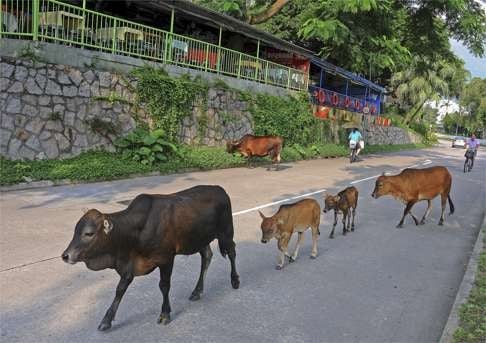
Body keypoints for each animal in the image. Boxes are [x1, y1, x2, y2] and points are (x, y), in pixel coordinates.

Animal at [61, 187, 240, 332]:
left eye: (89, 233)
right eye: (75, 230)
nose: (65, 255)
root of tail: (220, 189)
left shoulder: (166, 258)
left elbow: (164, 286)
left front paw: (165, 314)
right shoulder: (129, 267)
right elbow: (120, 289)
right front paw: (106, 321)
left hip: (226, 232)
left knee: (232, 252)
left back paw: (235, 281)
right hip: (200, 239)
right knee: (207, 257)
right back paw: (197, 291)